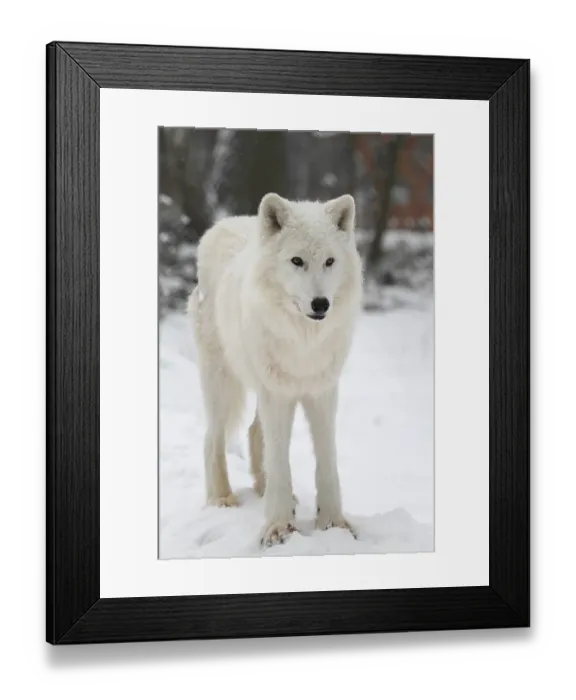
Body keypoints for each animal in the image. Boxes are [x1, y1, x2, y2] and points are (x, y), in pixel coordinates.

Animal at [188, 192, 363, 548]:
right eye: (297, 261)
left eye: (329, 262)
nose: (321, 304)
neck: (304, 342)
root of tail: (223, 224)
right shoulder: (278, 395)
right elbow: (281, 464)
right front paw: (280, 528)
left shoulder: (322, 392)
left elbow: (327, 463)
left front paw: (334, 524)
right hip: (223, 384)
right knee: (213, 438)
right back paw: (222, 499)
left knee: (255, 433)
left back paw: (261, 489)